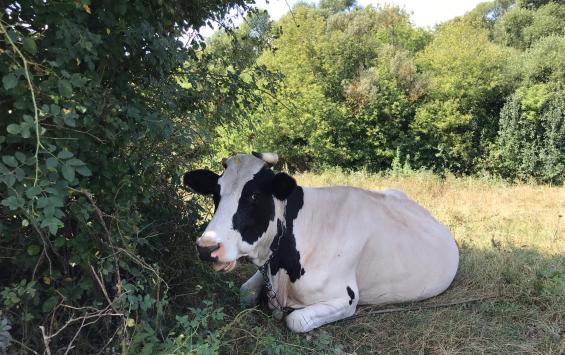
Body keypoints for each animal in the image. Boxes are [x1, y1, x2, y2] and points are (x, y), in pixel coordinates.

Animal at [184, 152, 458, 334]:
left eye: (253, 195)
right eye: (215, 194)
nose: (206, 247)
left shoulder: (345, 298)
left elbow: (295, 320)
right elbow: (245, 292)